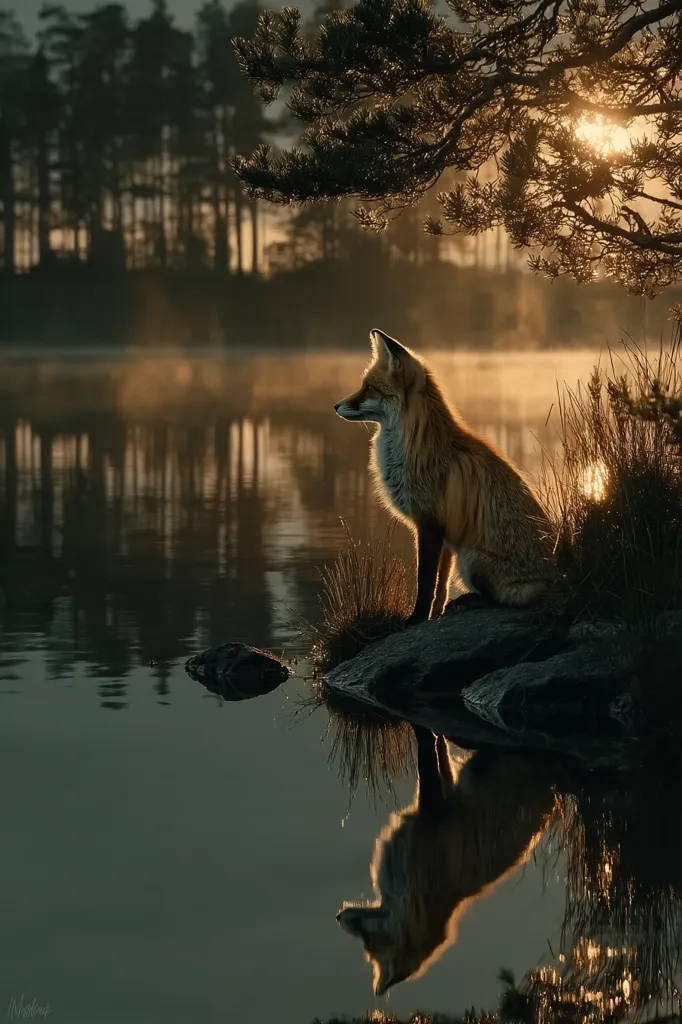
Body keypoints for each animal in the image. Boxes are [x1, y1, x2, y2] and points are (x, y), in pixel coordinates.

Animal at [334, 329, 558, 624]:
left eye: (369, 388)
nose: (335, 405)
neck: (416, 445)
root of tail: (558, 579)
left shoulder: (429, 522)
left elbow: (425, 583)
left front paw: (416, 619)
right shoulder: (446, 533)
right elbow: (440, 586)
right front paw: (434, 615)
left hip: (470, 559)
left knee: (502, 599)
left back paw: (469, 601)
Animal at [337, 727, 555, 997]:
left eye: (366, 941)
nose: (337, 917)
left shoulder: (434, 812)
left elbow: (426, 760)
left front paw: (424, 733)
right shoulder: (445, 795)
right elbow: (443, 760)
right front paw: (440, 741)